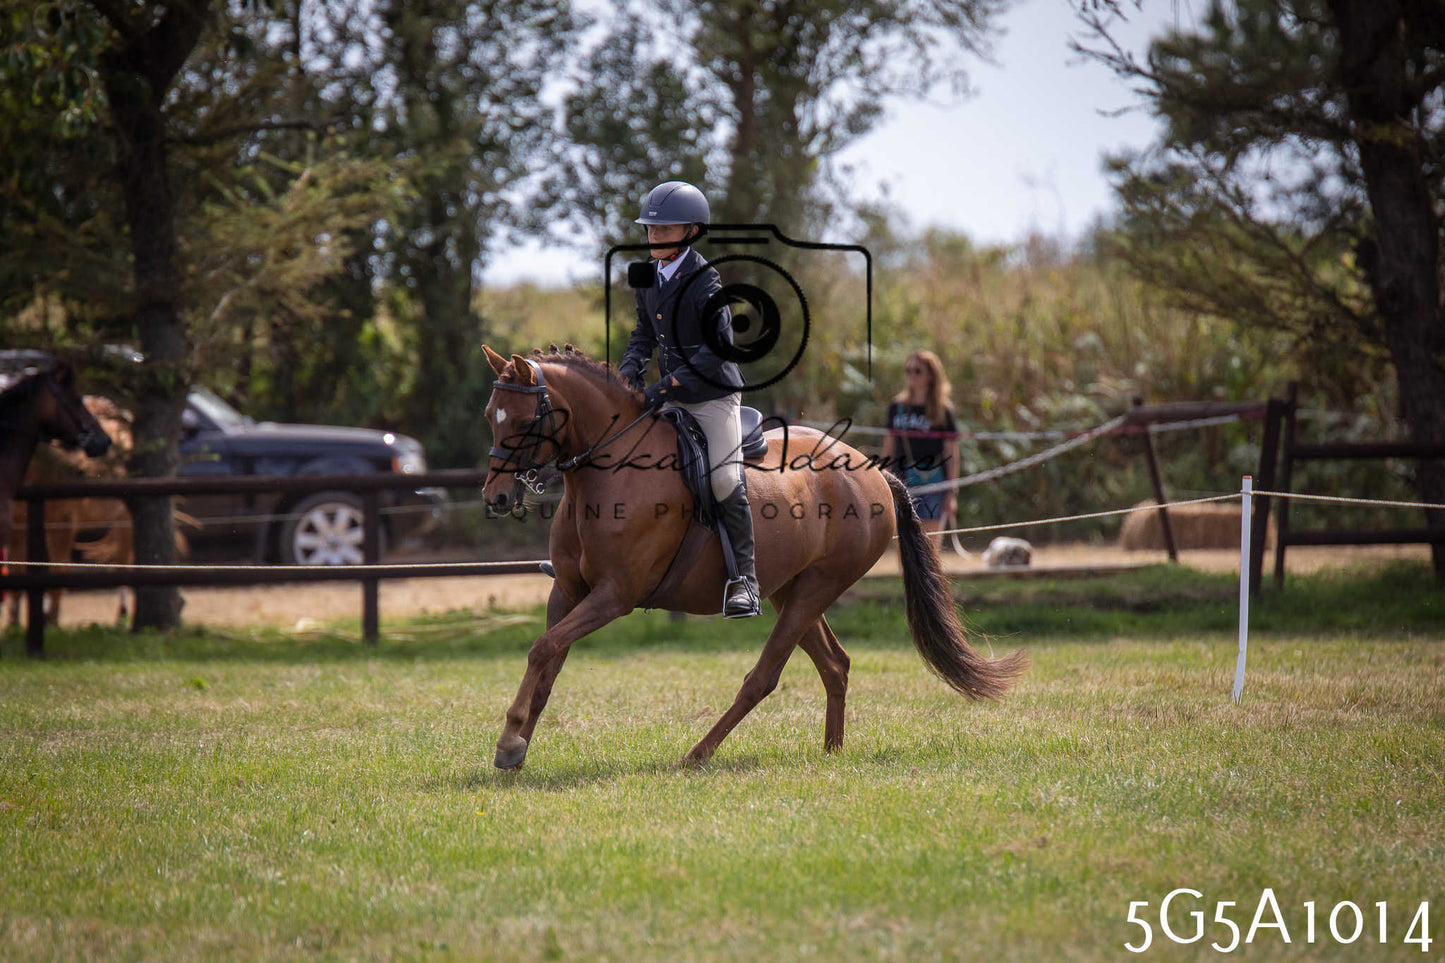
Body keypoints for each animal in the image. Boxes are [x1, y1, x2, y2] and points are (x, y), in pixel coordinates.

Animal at [480, 344, 1026, 770]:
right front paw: (519, 746)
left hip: (816, 588)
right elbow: (548, 661)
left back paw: (698, 754)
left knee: (763, 677)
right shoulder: (568, 590)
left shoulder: (614, 595)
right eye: (491, 417)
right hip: (791, 590)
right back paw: (832, 753)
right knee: (835, 665)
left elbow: (543, 649)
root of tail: (872, 470)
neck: (609, 469)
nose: (497, 498)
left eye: (525, 421)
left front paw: (509, 740)